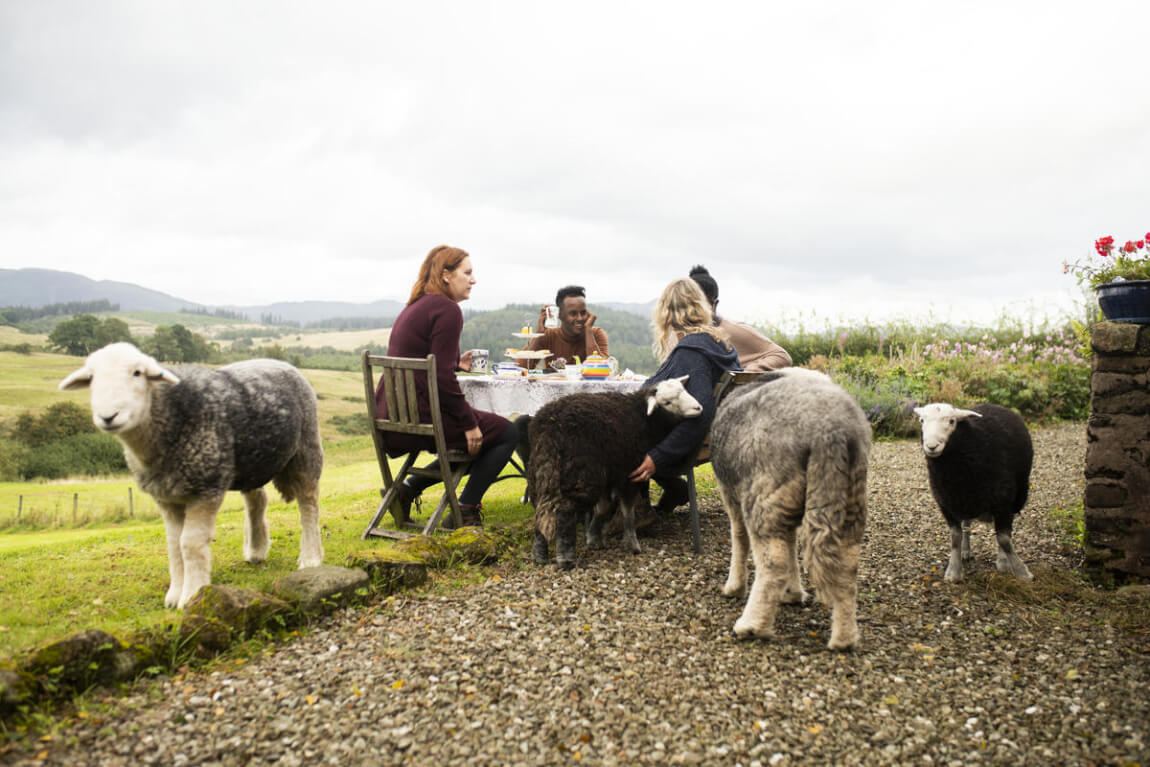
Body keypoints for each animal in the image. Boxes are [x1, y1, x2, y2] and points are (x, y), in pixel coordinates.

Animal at [61, 344, 326, 607]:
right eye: (91, 378)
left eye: (137, 373)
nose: (108, 416)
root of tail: (278, 362)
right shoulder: (166, 496)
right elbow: (173, 544)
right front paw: (174, 595)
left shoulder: (205, 488)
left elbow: (189, 543)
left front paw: (191, 594)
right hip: (252, 459)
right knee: (257, 500)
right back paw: (256, 550)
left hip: (306, 448)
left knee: (308, 504)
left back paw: (310, 558)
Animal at [526, 377, 699, 570]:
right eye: (667, 402)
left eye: (684, 390)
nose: (698, 408)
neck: (643, 417)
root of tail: (550, 428)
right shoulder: (630, 473)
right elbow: (627, 510)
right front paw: (632, 544)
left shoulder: (609, 474)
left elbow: (604, 507)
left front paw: (594, 539)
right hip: (582, 476)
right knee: (564, 512)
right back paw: (566, 559)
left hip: (540, 473)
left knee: (540, 510)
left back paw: (539, 554)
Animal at [708, 367, 869, 653]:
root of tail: (831, 430)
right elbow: (793, 545)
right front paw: (792, 593)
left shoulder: (730, 493)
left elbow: (739, 539)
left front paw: (734, 586)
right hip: (847, 496)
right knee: (847, 564)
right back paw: (844, 637)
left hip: (765, 494)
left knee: (774, 563)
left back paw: (751, 625)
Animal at [910, 402, 1039, 581]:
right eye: (922, 420)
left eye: (951, 421)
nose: (931, 446)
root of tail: (994, 405)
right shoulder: (947, 502)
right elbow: (955, 537)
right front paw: (954, 571)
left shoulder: (1003, 501)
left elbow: (1004, 539)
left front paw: (1021, 571)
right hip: (965, 500)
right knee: (966, 524)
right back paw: (966, 551)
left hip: (1018, 493)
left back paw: (1002, 560)